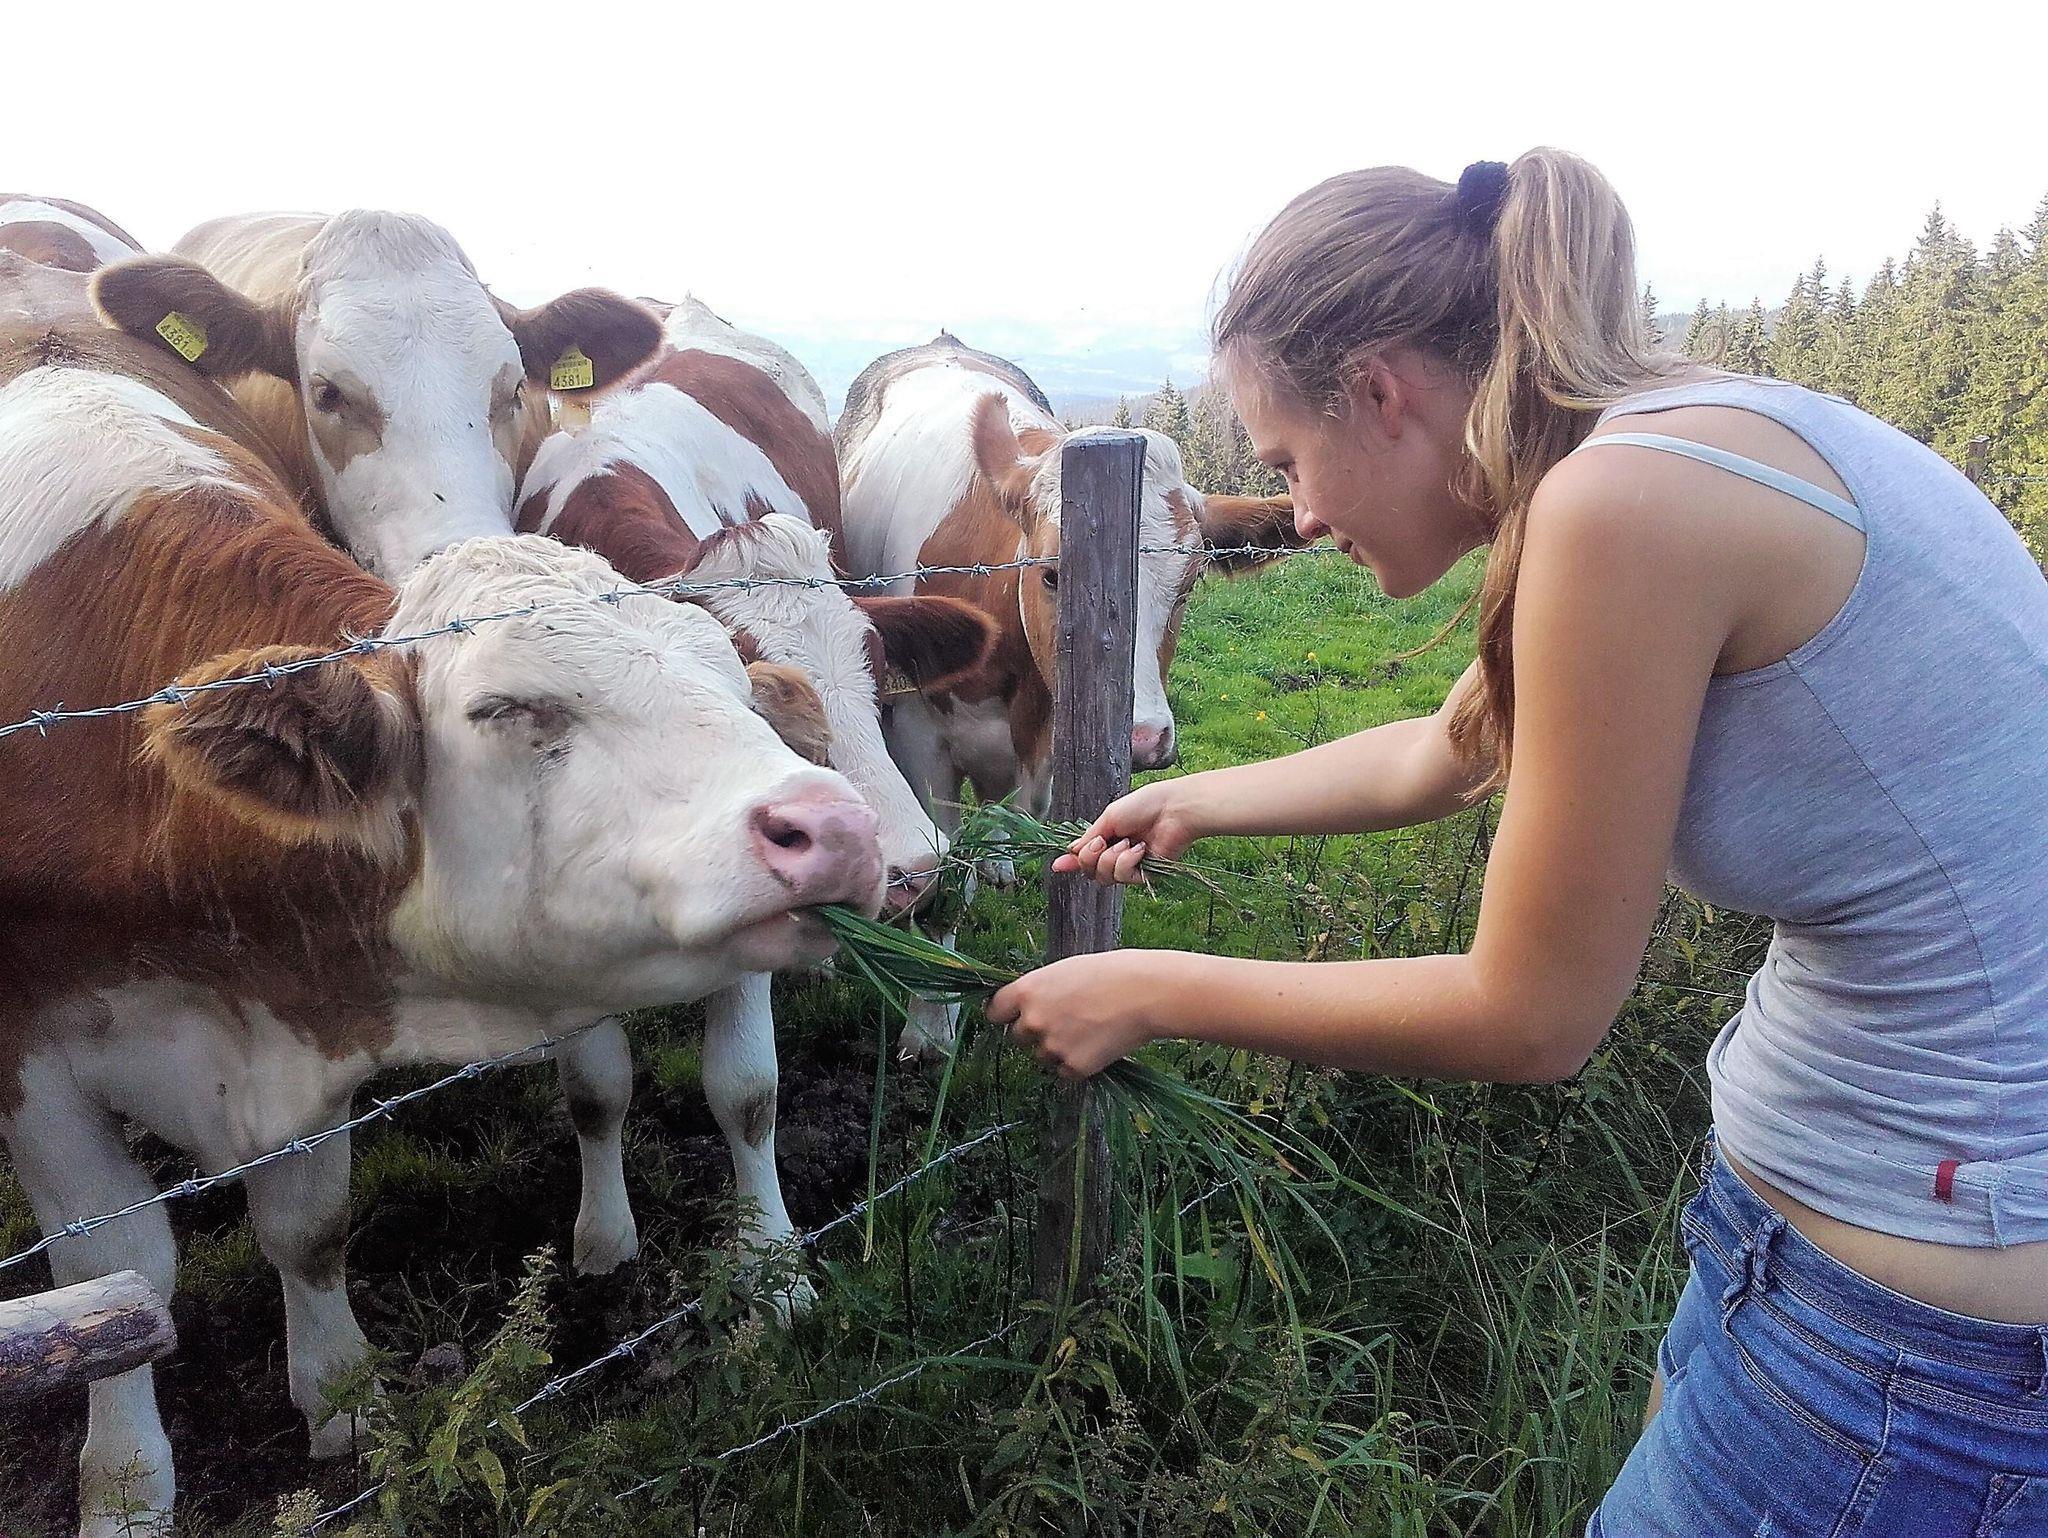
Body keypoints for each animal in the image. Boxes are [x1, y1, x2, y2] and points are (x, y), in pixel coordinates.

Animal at [0, 324, 883, 1537]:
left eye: (736, 689)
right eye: (508, 708)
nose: (837, 826)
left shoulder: (306, 1017)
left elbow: (308, 1225)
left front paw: (341, 1399)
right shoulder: (33, 1061)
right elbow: (119, 1272)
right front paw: (129, 1491)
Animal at [514, 297, 996, 1283]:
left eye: (878, 670)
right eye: (766, 701)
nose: (911, 870)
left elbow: (747, 1090)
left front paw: (770, 1271)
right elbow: (593, 1090)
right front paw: (603, 1238)